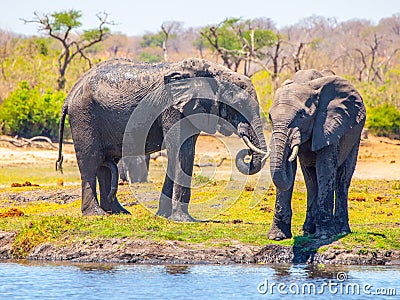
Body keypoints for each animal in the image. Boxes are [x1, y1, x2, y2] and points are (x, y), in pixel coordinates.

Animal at [56, 57, 268, 220]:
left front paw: (165, 215)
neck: (213, 70)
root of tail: (69, 95)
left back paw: (118, 213)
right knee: (91, 162)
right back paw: (96, 214)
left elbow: (183, 152)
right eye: (237, 104)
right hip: (84, 114)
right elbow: (181, 152)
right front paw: (184, 220)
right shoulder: (172, 108)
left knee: (106, 164)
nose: (246, 153)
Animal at [266, 69, 366, 240]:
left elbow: (325, 168)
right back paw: (308, 230)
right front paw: (277, 237)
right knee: (311, 181)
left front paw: (324, 236)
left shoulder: (329, 124)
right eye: (270, 117)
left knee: (342, 179)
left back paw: (341, 230)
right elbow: (294, 170)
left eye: (301, 115)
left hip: (355, 137)